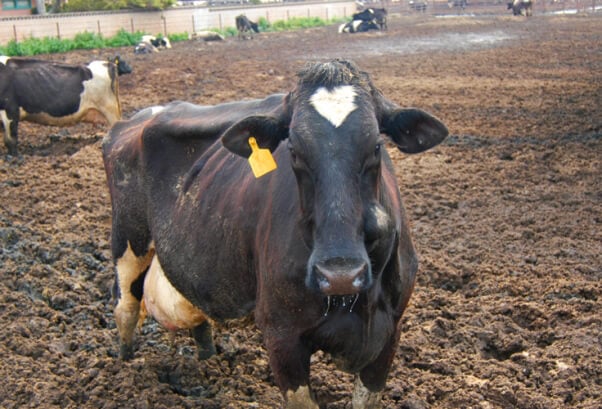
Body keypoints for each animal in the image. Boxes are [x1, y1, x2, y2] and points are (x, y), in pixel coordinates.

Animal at [102, 59, 446, 406]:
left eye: (376, 146)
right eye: (293, 150)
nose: (340, 275)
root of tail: (137, 119)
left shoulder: (390, 332)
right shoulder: (281, 335)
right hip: (127, 240)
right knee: (125, 306)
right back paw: (124, 368)